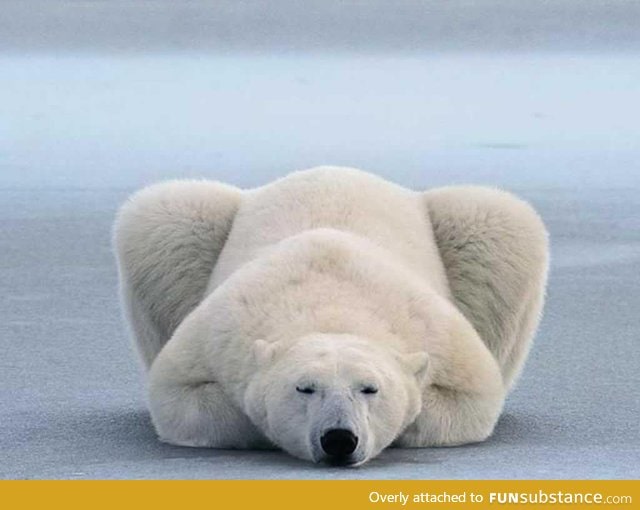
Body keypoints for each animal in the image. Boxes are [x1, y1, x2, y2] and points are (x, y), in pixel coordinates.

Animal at [112, 167, 548, 466]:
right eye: (305, 388)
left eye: (370, 388)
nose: (339, 439)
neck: (333, 305)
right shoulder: (221, 331)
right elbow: (179, 395)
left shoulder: (437, 334)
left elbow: (471, 398)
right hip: (190, 228)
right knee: (165, 214)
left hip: (474, 229)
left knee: (497, 220)